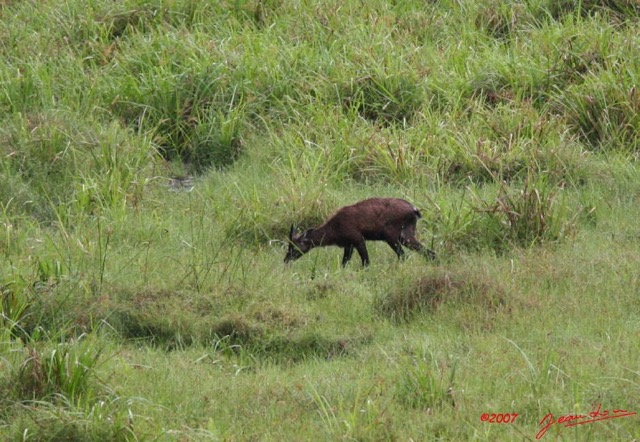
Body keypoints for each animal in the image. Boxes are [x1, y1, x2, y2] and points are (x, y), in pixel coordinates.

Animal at [284, 199, 436, 268]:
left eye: (294, 245)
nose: (286, 260)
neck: (335, 227)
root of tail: (414, 209)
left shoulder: (358, 239)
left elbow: (366, 262)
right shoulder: (348, 245)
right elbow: (344, 263)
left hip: (391, 236)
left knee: (404, 256)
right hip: (406, 236)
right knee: (430, 252)